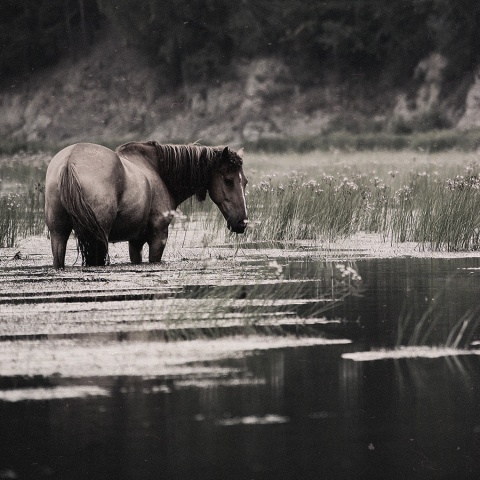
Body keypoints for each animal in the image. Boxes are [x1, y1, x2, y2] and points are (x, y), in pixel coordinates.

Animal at [45, 142, 249, 270]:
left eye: (245, 181)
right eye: (228, 180)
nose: (242, 222)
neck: (157, 170)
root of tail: (69, 161)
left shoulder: (135, 241)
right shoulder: (158, 236)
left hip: (58, 234)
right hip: (96, 238)